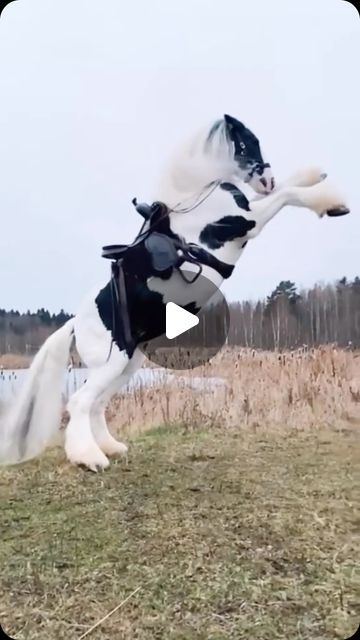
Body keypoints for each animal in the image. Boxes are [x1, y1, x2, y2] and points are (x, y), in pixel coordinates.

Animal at [0, 114, 348, 470]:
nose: (267, 180)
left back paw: (111, 448)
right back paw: (90, 459)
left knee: (96, 404)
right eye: (248, 141)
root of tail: (74, 324)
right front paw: (332, 204)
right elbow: (288, 195)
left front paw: (315, 175)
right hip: (112, 364)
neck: (197, 199)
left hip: (125, 366)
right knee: (80, 403)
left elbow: (288, 187)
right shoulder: (247, 222)